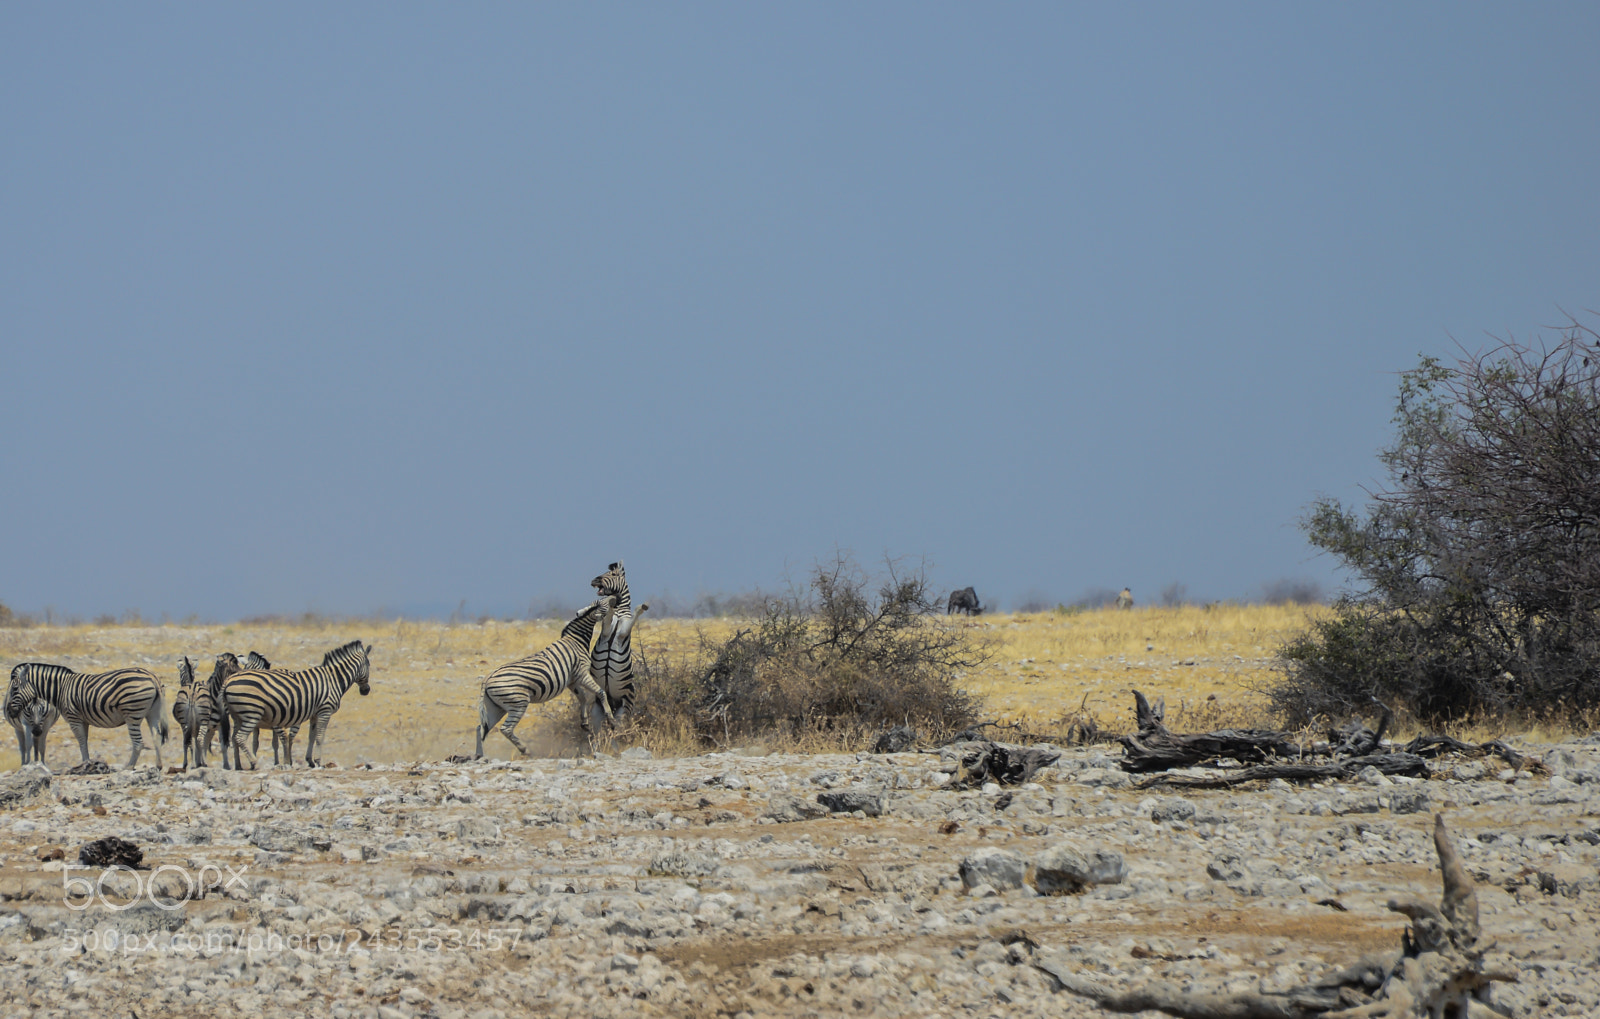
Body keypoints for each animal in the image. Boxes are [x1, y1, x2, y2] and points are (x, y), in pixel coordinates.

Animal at [6, 663, 168, 770]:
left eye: (15, 688)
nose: (9, 712)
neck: (61, 689)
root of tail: (152, 677)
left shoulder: (74, 718)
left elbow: (81, 741)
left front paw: (84, 764)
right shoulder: (84, 720)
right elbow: (85, 741)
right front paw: (88, 763)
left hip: (132, 713)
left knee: (138, 743)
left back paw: (128, 767)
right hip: (152, 713)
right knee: (157, 737)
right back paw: (158, 766)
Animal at [219, 640, 373, 770]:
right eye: (369, 665)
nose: (366, 691)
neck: (333, 679)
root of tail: (227, 681)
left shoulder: (314, 714)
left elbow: (312, 736)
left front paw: (310, 761)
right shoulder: (325, 711)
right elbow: (320, 737)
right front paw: (318, 762)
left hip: (237, 715)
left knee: (234, 738)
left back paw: (239, 765)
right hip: (252, 714)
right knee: (240, 737)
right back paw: (254, 763)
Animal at [477, 597, 616, 758]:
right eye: (602, 603)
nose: (614, 598)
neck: (576, 640)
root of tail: (487, 678)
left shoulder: (572, 681)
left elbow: (583, 698)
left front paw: (585, 723)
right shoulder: (582, 674)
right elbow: (601, 692)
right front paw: (612, 720)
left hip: (495, 708)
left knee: (481, 728)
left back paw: (479, 756)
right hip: (518, 703)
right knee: (506, 729)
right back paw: (525, 750)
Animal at [578, 561, 650, 734]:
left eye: (613, 574)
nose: (593, 581)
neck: (619, 610)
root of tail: (613, 703)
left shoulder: (623, 632)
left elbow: (634, 613)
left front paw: (642, 606)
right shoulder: (605, 630)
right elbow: (604, 607)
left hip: (623, 709)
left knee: (617, 732)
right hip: (598, 708)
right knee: (599, 734)